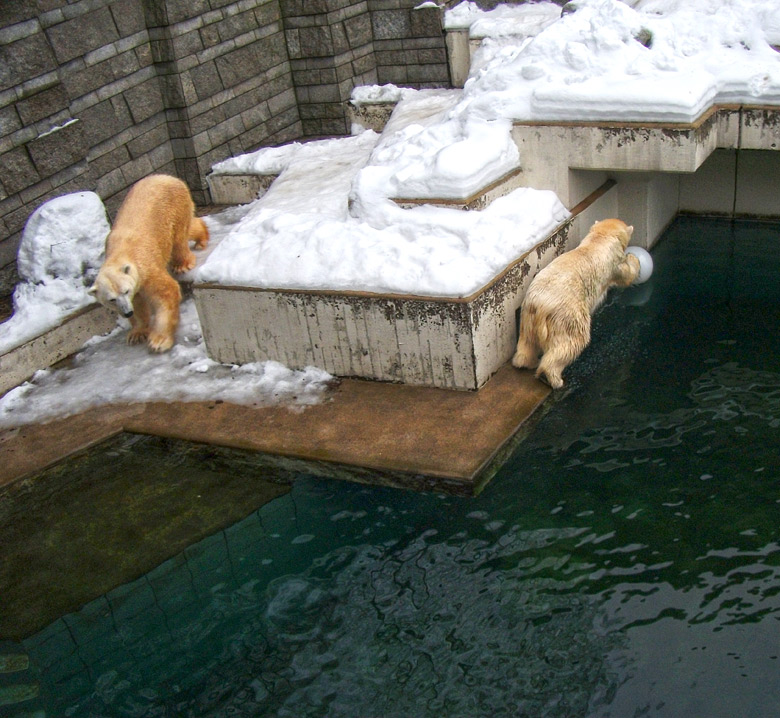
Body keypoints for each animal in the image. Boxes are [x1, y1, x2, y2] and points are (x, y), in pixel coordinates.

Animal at [88, 175, 209, 354]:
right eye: (111, 299)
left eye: (125, 290)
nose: (127, 313)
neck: (118, 253)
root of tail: (167, 177)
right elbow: (138, 305)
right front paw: (136, 334)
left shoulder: (146, 269)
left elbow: (165, 292)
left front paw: (159, 341)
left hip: (174, 208)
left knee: (179, 237)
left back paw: (184, 261)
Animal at [512, 218, 640, 390]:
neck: (600, 238)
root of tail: (541, 305)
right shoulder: (614, 263)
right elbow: (626, 275)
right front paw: (633, 258)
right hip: (567, 315)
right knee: (572, 342)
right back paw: (552, 378)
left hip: (527, 316)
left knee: (527, 344)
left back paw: (527, 362)